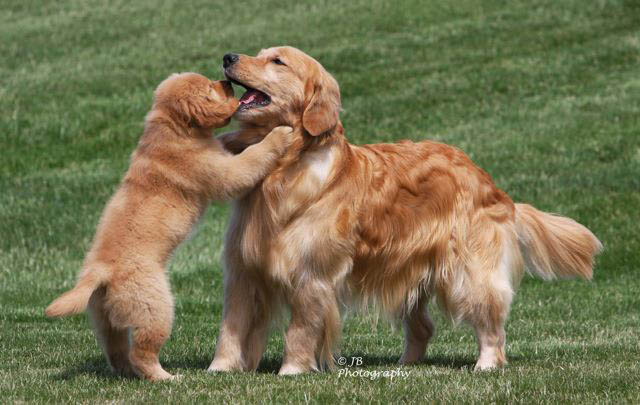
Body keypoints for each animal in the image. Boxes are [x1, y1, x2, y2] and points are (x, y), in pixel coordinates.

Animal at [46, 72, 294, 378]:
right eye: (210, 88)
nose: (225, 80)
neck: (174, 128)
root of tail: (100, 271)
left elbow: (226, 142)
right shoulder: (221, 171)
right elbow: (250, 160)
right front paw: (279, 134)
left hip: (105, 317)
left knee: (116, 349)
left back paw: (128, 372)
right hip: (155, 306)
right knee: (143, 351)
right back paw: (165, 376)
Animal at [209, 46, 600, 372]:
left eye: (277, 61)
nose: (228, 56)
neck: (285, 167)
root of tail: (486, 179)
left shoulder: (311, 275)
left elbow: (299, 332)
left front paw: (291, 371)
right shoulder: (243, 271)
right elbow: (231, 328)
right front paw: (221, 369)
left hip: (468, 272)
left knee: (490, 321)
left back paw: (487, 364)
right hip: (405, 271)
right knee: (423, 326)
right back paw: (405, 365)